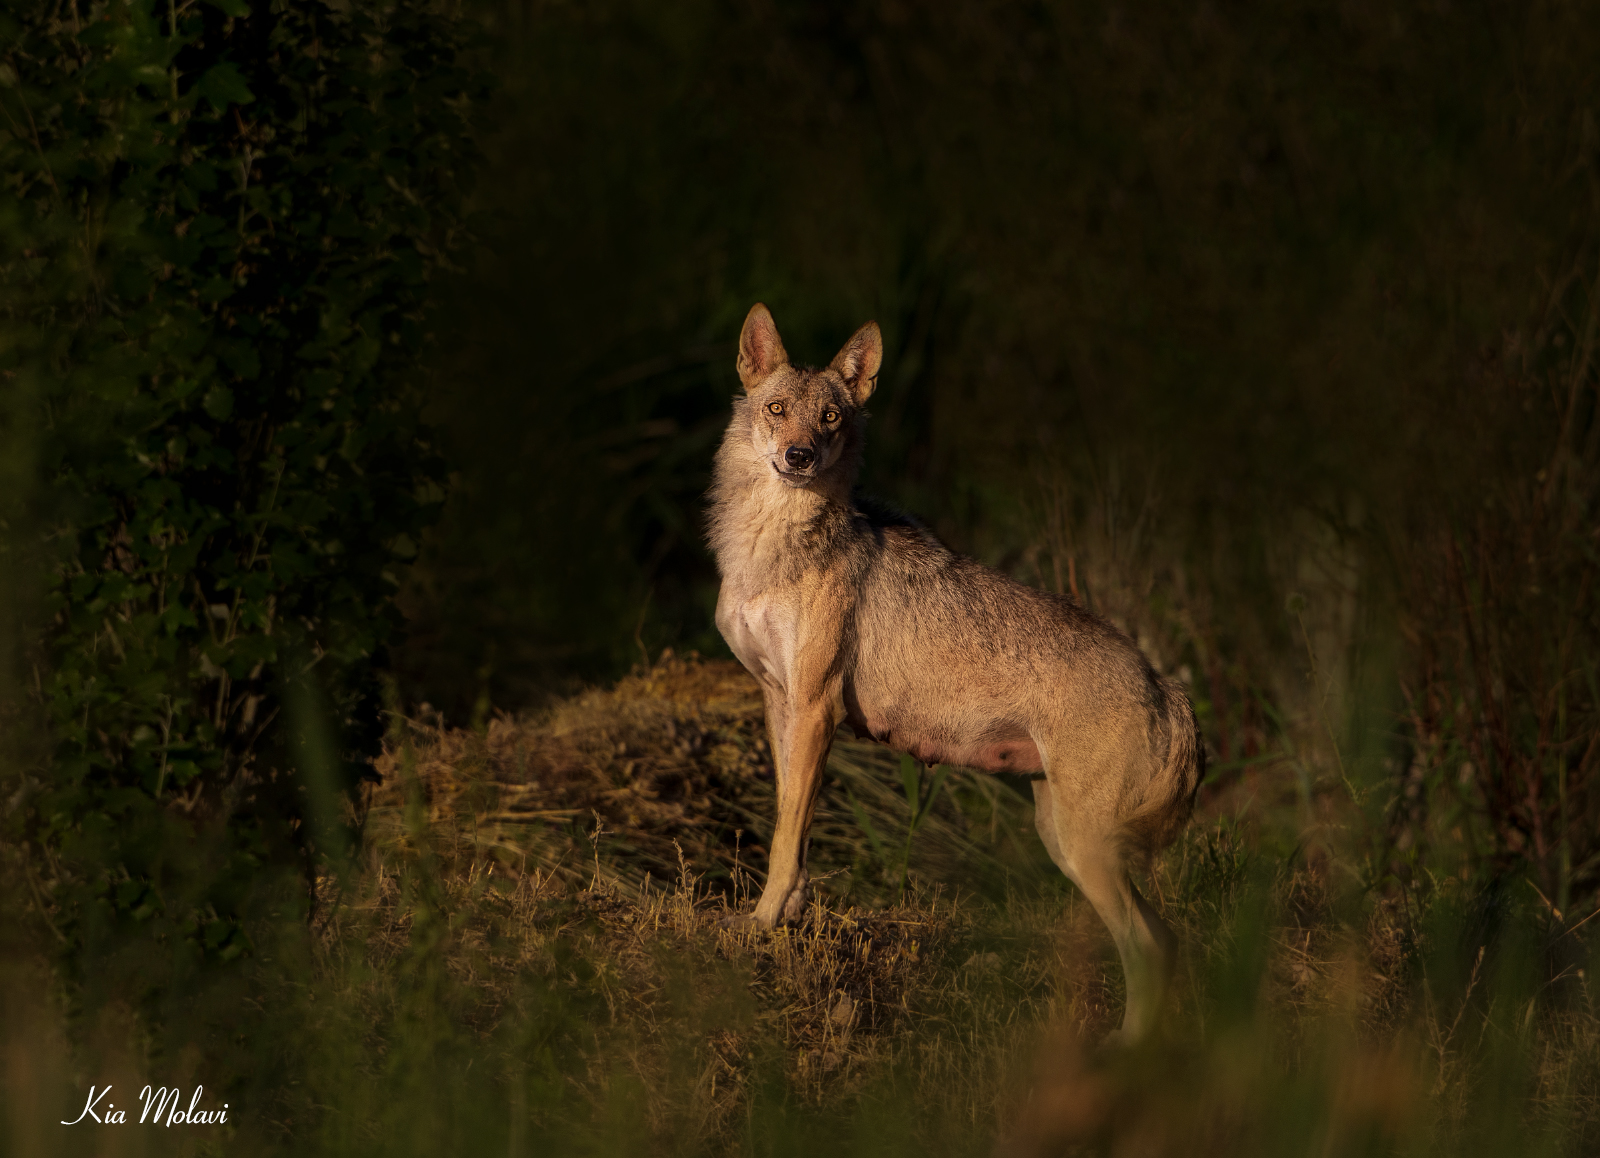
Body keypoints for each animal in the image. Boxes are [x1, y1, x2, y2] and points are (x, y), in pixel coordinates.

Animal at [707, 303, 1204, 1040]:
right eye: (777, 410)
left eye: (830, 418)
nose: (800, 457)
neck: (772, 543)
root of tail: (1168, 688)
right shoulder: (779, 700)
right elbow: (792, 824)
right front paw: (787, 916)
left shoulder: (816, 706)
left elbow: (786, 836)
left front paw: (761, 922)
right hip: (1063, 840)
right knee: (1164, 941)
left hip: (1084, 849)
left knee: (1147, 946)